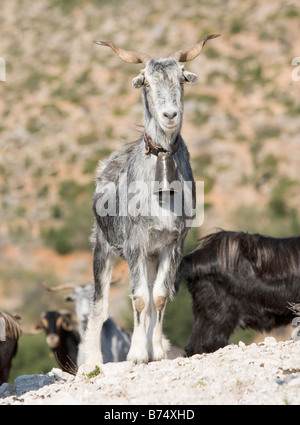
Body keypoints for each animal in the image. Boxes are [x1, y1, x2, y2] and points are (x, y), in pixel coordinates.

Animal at [82, 34, 220, 364]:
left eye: (181, 78)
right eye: (146, 81)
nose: (169, 115)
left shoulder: (173, 243)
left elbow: (158, 296)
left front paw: (155, 351)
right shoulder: (134, 242)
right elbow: (140, 299)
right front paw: (135, 354)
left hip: (150, 256)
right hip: (103, 247)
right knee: (100, 305)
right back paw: (92, 361)